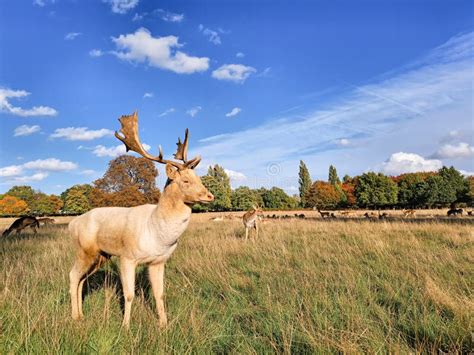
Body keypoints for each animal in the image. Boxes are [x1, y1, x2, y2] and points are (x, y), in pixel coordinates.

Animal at [67, 112, 214, 330]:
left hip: (100, 256)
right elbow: (129, 295)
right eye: (185, 180)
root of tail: (71, 224)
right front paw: (125, 326)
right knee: (72, 275)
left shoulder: (158, 261)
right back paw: (75, 316)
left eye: (199, 178)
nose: (210, 196)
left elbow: (159, 294)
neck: (157, 234)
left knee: (81, 279)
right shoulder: (127, 257)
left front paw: (163, 325)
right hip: (84, 250)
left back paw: (81, 314)